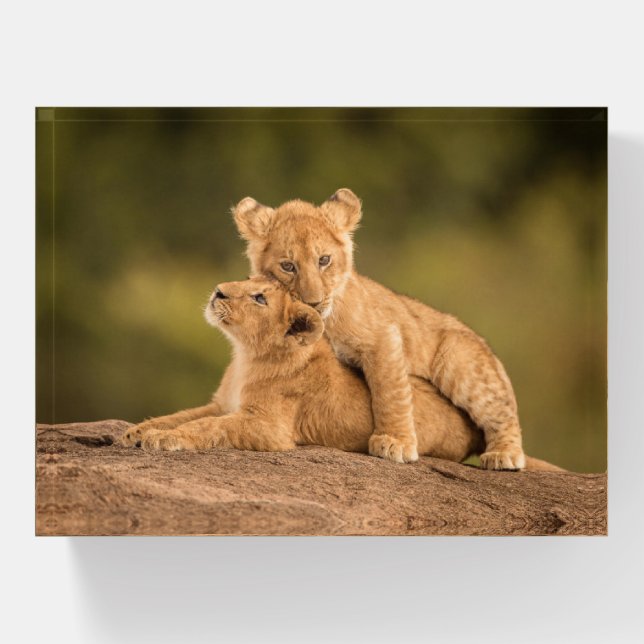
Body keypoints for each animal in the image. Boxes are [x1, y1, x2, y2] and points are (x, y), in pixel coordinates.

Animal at [120, 276, 561, 472]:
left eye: (260, 297)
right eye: (246, 280)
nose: (218, 291)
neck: (245, 355)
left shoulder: (269, 429)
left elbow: (207, 428)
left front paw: (165, 440)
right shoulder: (219, 403)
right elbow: (182, 416)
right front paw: (137, 432)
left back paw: (502, 456)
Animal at [231, 189, 527, 469]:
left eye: (324, 260)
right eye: (288, 266)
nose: (313, 302)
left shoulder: (383, 336)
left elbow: (390, 392)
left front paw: (395, 442)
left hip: (458, 358)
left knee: (502, 411)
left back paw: (504, 455)